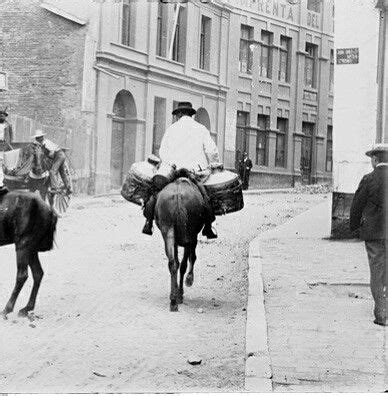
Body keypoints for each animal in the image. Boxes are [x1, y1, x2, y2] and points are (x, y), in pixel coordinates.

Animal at [0, 189, 57, 318]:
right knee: (38, 273)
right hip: (31, 248)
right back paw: (26, 308)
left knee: (22, 275)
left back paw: (7, 309)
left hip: (23, 245)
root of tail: (48, 209)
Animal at [155, 170, 209, 312]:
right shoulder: (192, 238)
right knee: (185, 262)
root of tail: (178, 194)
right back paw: (179, 294)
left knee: (172, 263)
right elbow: (191, 259)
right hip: (189, 234)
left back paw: (173, 300)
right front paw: (189, 280)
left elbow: (177, 262)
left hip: (168, 231)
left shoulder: (175, 241)